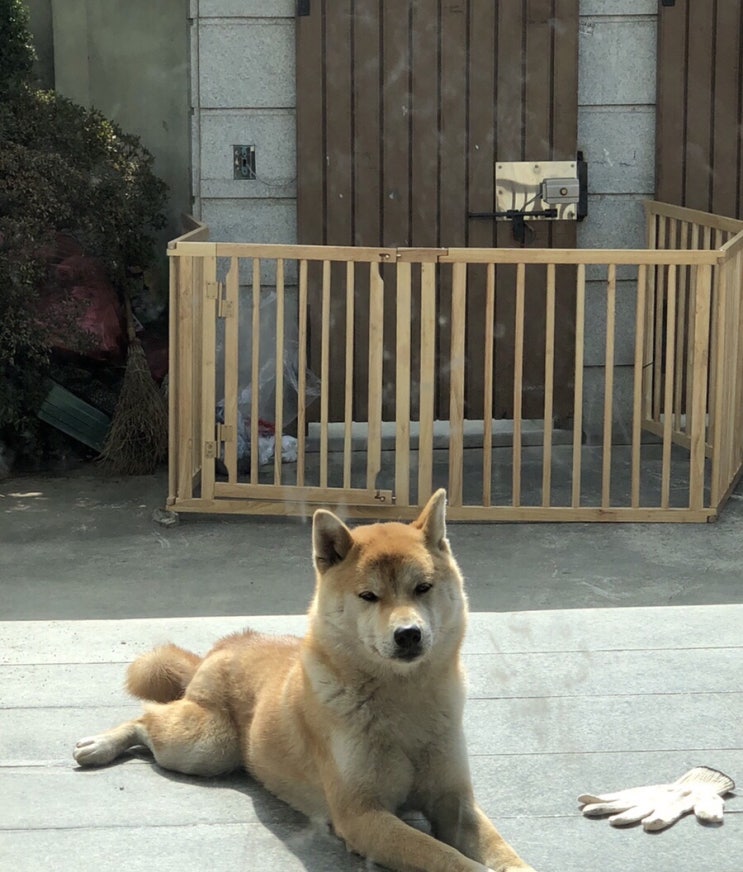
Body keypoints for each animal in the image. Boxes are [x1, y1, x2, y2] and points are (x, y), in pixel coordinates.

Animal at [74, 490, 536, 872]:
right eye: (369, 596)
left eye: (423, 588)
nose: (408, 634)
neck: (404, 702)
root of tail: (229, 643)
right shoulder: (363, 817)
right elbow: (446, 857)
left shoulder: (454, 802)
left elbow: (500, 851)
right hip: (205, 748)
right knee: (146, 719)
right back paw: (100, 745)